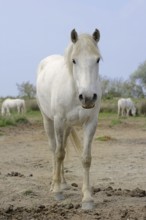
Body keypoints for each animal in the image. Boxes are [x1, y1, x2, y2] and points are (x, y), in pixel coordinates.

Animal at [36, 29, 102, 210]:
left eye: (98, 59)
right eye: (74, 60)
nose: (88, 97)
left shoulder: (90, 123)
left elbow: (86, 158)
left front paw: (87, 198)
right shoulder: (58, 121)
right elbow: (59, 154)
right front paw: (58, 192)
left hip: (67, 127)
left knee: (63, 147)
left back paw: (64, 183)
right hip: (48, 121)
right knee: (55, 149)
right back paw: (55, 184)